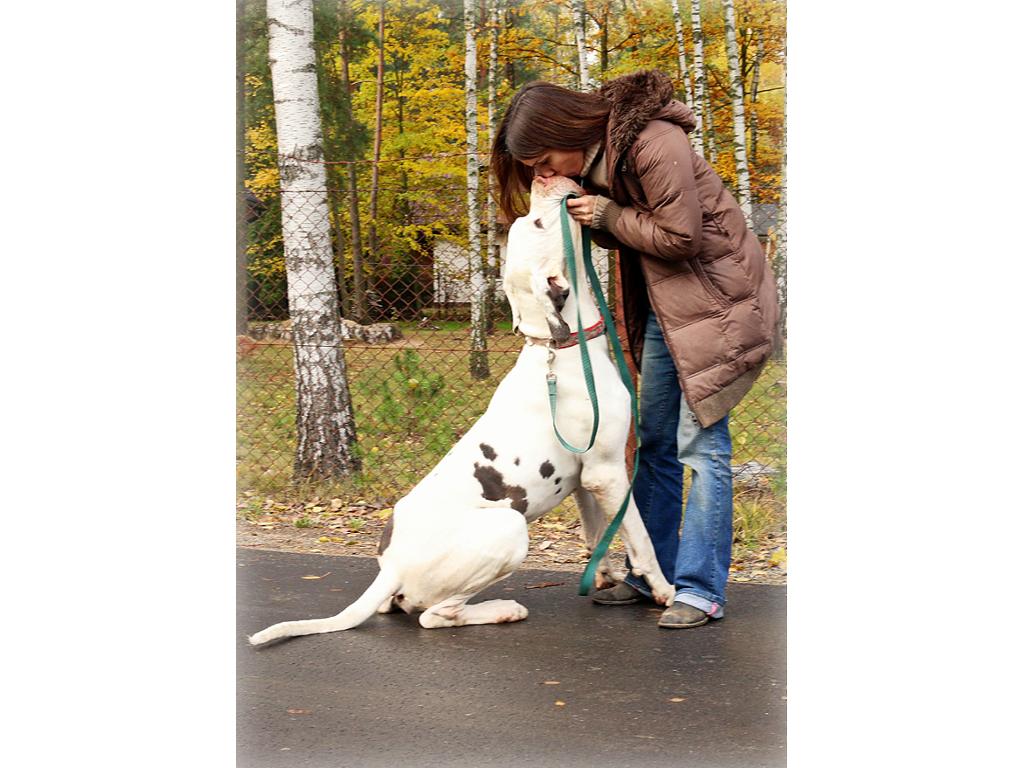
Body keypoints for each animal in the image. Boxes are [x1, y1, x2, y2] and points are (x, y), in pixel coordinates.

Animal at [248, 177, 675, 647]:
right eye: (538, 222)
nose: (543, 177)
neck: (556, 349)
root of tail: (393, 565)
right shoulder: (608, 471)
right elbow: (641, 538)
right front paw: (664, 590)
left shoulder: (585, 479)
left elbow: (597, 532)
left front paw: (605, 575)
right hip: (510, 527)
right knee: (435, 616)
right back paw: (503, 609)